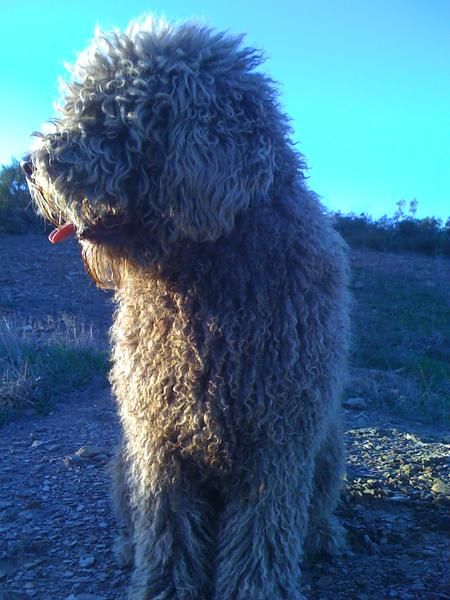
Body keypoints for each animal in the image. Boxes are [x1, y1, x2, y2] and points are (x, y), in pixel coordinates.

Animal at [22, 16, 350, 596]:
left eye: (111, 114)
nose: (26, 166)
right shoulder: (157, 435)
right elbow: (167, 526)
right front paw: (163, 586)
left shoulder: (279, 442)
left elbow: (263, 534)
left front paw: (257, 588)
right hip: (124, 460)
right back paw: (129, 547)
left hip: (329, 446)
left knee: (315, 508)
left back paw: (323, 535)